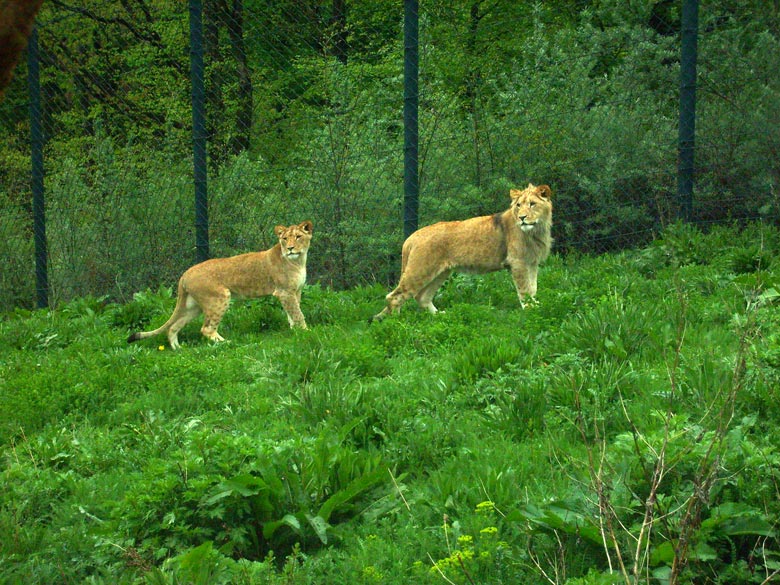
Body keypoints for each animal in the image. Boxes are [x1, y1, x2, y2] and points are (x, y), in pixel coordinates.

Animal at [126, 219, 312, 346]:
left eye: (298, 237)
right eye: (285, 239)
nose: (290, 248)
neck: (298, 261)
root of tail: (185, 274)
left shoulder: (294, 292)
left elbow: (292, 314)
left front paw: (295, 331)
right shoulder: (284, 292)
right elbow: (298, 314)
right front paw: (306, 332)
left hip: (194, 306)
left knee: (174, 327)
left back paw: (178, 349)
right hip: (219, 298)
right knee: (206, 329)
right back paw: (226, 343)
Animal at [374, 182, 552, 320]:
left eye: (532, 204)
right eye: (518, 205)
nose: (522, 218)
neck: (536, 230)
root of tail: (412, 237)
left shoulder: (531, 263)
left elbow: (533, 288)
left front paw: (536, 306)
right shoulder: (517, 262)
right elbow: (524, 289)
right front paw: (530, 311)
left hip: (441, 272)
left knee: (422, 297)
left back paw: (439, 315)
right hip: (419, 271)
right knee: (394, 297)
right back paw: (397, 322)